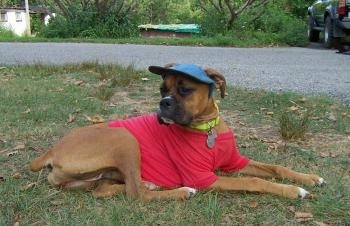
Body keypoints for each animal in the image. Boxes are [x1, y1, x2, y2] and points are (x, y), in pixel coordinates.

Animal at [30, 62, 326, 200]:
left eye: (184, 89)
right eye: (162, 89)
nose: (163, 103)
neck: (207, 127)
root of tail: (52, 149)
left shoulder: (235, 163)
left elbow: (275, 167)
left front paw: (309, 178)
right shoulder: (206, 178)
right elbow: (255, 181)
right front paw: (293, 191)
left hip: (95, 176)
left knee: (107, 189)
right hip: (124, 138)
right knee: (137, 195)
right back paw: (181, 192)